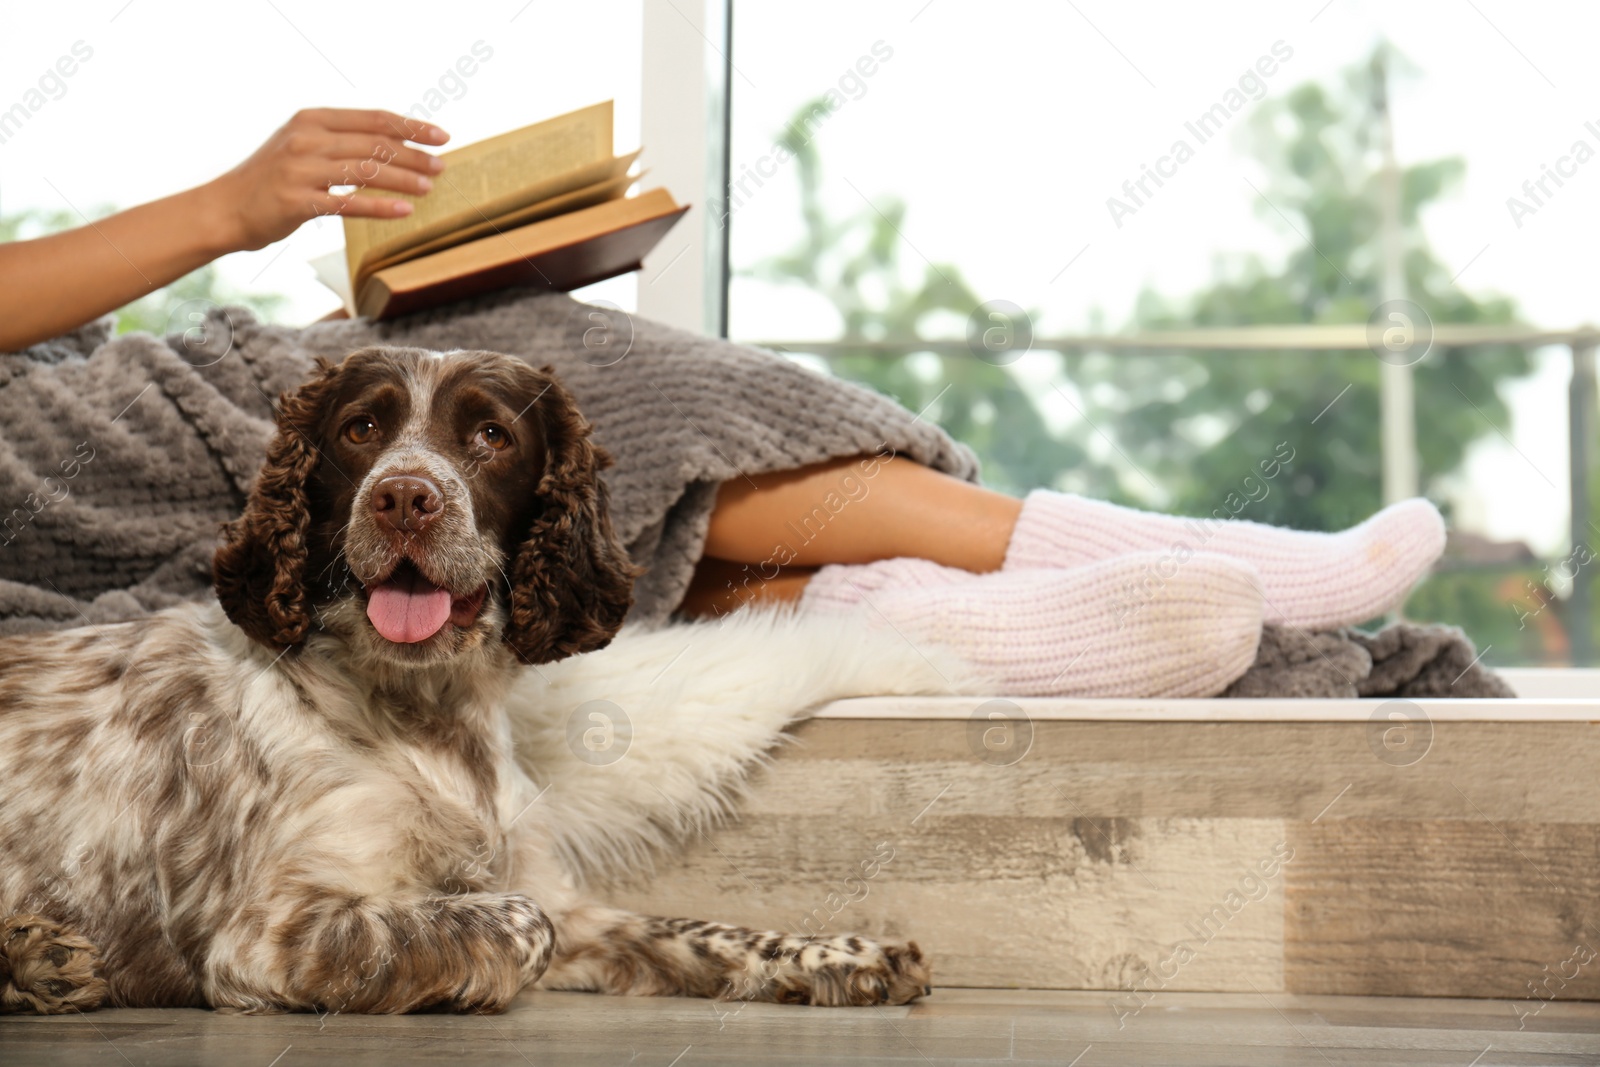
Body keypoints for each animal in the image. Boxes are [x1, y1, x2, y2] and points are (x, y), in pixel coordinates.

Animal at [0, 347, 934, 1017]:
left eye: (491, 436)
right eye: (359, 429)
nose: (404, 497)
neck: (427, 715)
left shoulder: (562, 893)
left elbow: (693, 928)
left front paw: (846, 952)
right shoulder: (265, 932)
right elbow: (521, 925)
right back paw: (32, 965)